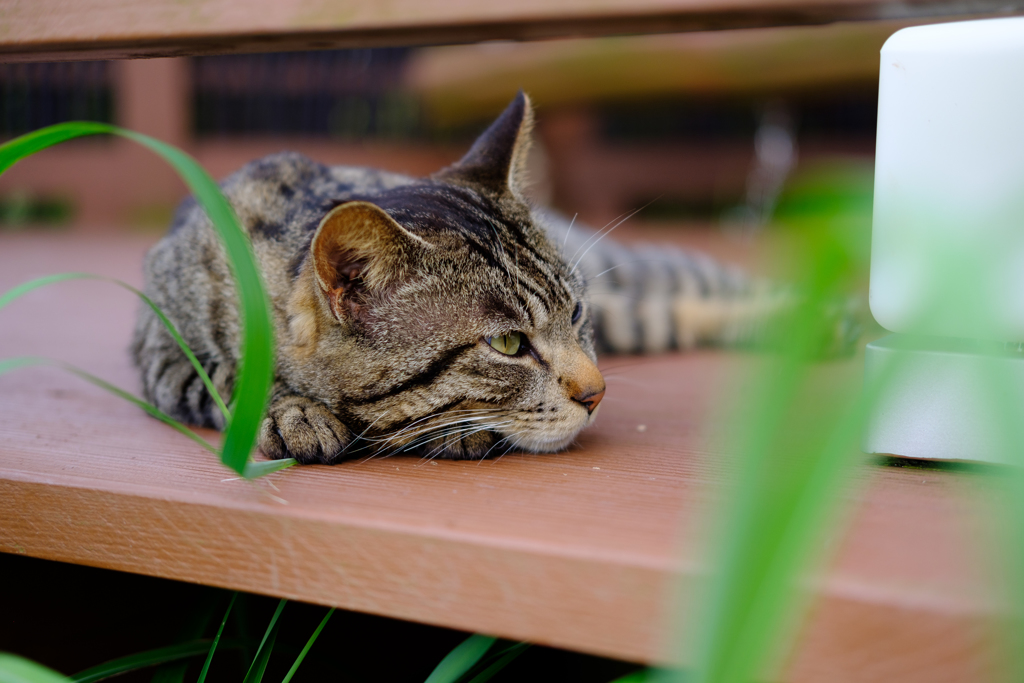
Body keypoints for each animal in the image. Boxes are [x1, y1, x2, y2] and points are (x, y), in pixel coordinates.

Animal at [134, 92, 823, 464]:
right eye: (508, 344)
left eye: (576, 315)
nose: (597, 394)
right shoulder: (157, 347)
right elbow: (222, 375)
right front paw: (292, 412)